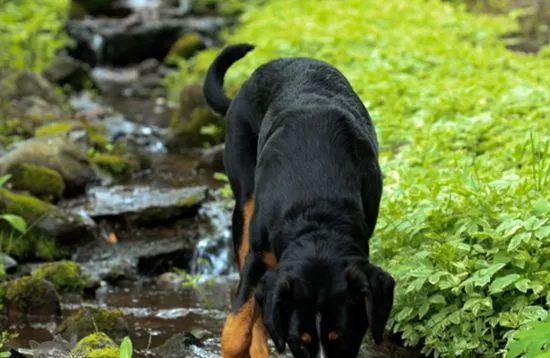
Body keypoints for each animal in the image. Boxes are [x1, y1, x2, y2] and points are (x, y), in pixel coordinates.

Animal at [204, 42, 396, 358]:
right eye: (299, 343)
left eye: (341, 340)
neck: (317, 208)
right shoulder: (258, 254)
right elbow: (236, 328)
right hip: (244, 203)